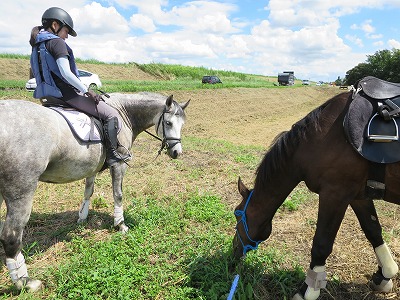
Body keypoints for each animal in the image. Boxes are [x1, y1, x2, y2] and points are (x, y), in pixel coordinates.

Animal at [0, 92, 190, 292]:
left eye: (182, 124)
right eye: (168, 123)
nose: (177, 152)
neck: (123, 111)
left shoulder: (91, 168)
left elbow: (88, 192)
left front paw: (82, 218)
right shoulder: (119, 164)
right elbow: (118, 195)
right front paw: (120, 224)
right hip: (22, 190)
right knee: (11, 236)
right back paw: (25, 282)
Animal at [231, 91, 400, 300]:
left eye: (237, 213)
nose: (234, 250)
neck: (318, 139)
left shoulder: (334, 195)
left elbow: (321, 244)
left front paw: (307, 290)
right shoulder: (357, 195)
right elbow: (373, 229)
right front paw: (385, 275)